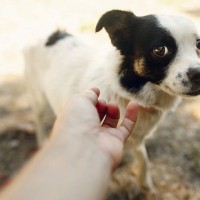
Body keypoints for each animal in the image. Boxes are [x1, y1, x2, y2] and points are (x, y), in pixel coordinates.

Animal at [24, 9, 200, 194]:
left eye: (198, 44)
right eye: (160, 49)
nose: (199, 73)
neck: (127, 93)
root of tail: (48, 34)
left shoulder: (135, 138)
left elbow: (143, 157)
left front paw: (145, 182)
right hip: (38, 98)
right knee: (38, 120)